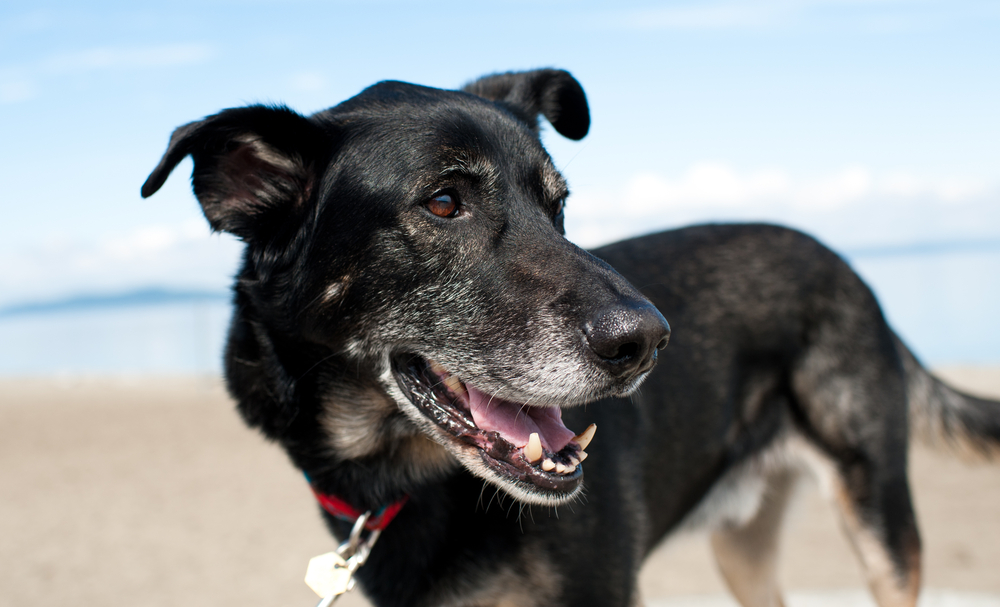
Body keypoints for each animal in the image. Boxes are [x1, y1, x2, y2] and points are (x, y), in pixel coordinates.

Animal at [141, 70, 1000, 607]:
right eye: (444, 202)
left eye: (558, 206)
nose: (649, 340)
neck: (402, 482)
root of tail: (843, 262)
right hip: (744, 546)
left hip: (880, 520)